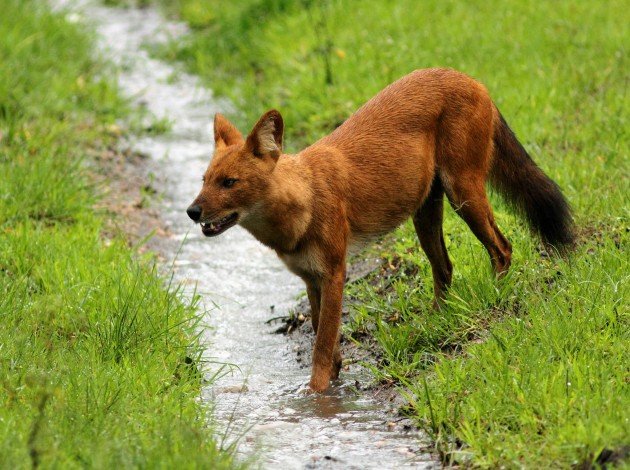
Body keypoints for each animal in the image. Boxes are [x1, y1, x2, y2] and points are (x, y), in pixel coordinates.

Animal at [185, 68, 576, 392]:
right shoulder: (311, 279)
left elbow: (322, 348)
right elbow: (324, 341)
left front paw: (315, 396)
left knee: (502, 248)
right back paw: (434, 324)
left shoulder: (334, 273)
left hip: (463, 193)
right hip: (425, 215)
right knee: (445, 268)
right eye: (204, 180)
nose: (191, 211)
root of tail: (469, 78)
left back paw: (494, 298)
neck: (302, 204)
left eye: (229, 182)